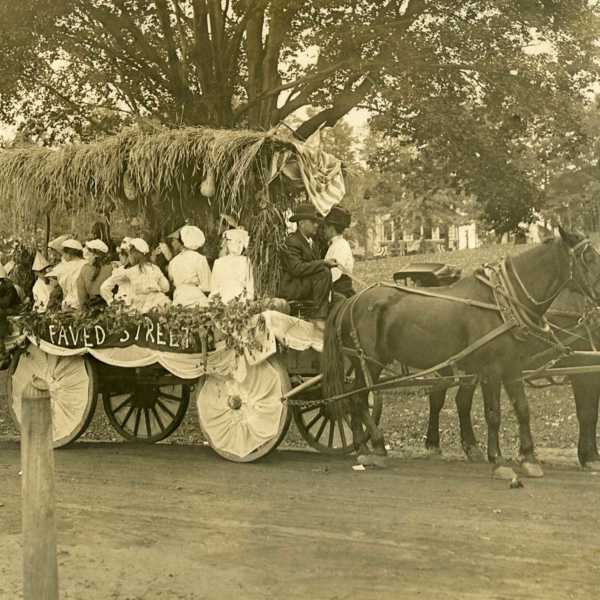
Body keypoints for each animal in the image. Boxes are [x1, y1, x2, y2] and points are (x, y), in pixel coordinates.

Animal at [424, 284, 600, 468]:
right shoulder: (585, 367)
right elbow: (588, 413)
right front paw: (590, 455)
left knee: (460, 401)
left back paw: (470, 446)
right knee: (437, 398)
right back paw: (434, 444)